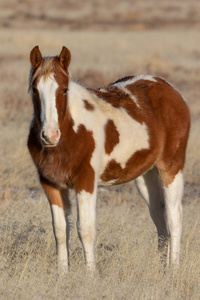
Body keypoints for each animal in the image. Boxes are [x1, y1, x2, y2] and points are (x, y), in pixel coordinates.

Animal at [27, 45, 190, 274]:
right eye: (35, 89)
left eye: (64, 89)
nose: (49, 135)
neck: (72, 131)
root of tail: (171, 90)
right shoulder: (51, 184)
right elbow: (60, 230)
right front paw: (62, 275)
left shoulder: (85, 182)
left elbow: (85, 229)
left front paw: (90, 275)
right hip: (146, 175)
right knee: (160, 216)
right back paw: (162, 269)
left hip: (171, 167)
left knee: (174, 217)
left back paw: (173, 269)